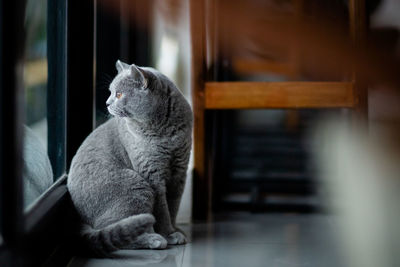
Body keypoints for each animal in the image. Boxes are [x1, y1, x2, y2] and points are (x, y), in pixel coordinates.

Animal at [67, 60, 192, 255]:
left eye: (119, 94)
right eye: (111, 92)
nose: (107, 102)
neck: (165, 131)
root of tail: (81, 219)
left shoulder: (180, 170)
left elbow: (173, 205)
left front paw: (175, 229)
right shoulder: (152, 173)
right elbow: (162, 210)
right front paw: (169, 234)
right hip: (135, 185)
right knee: (117, 228)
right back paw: (154, 239)